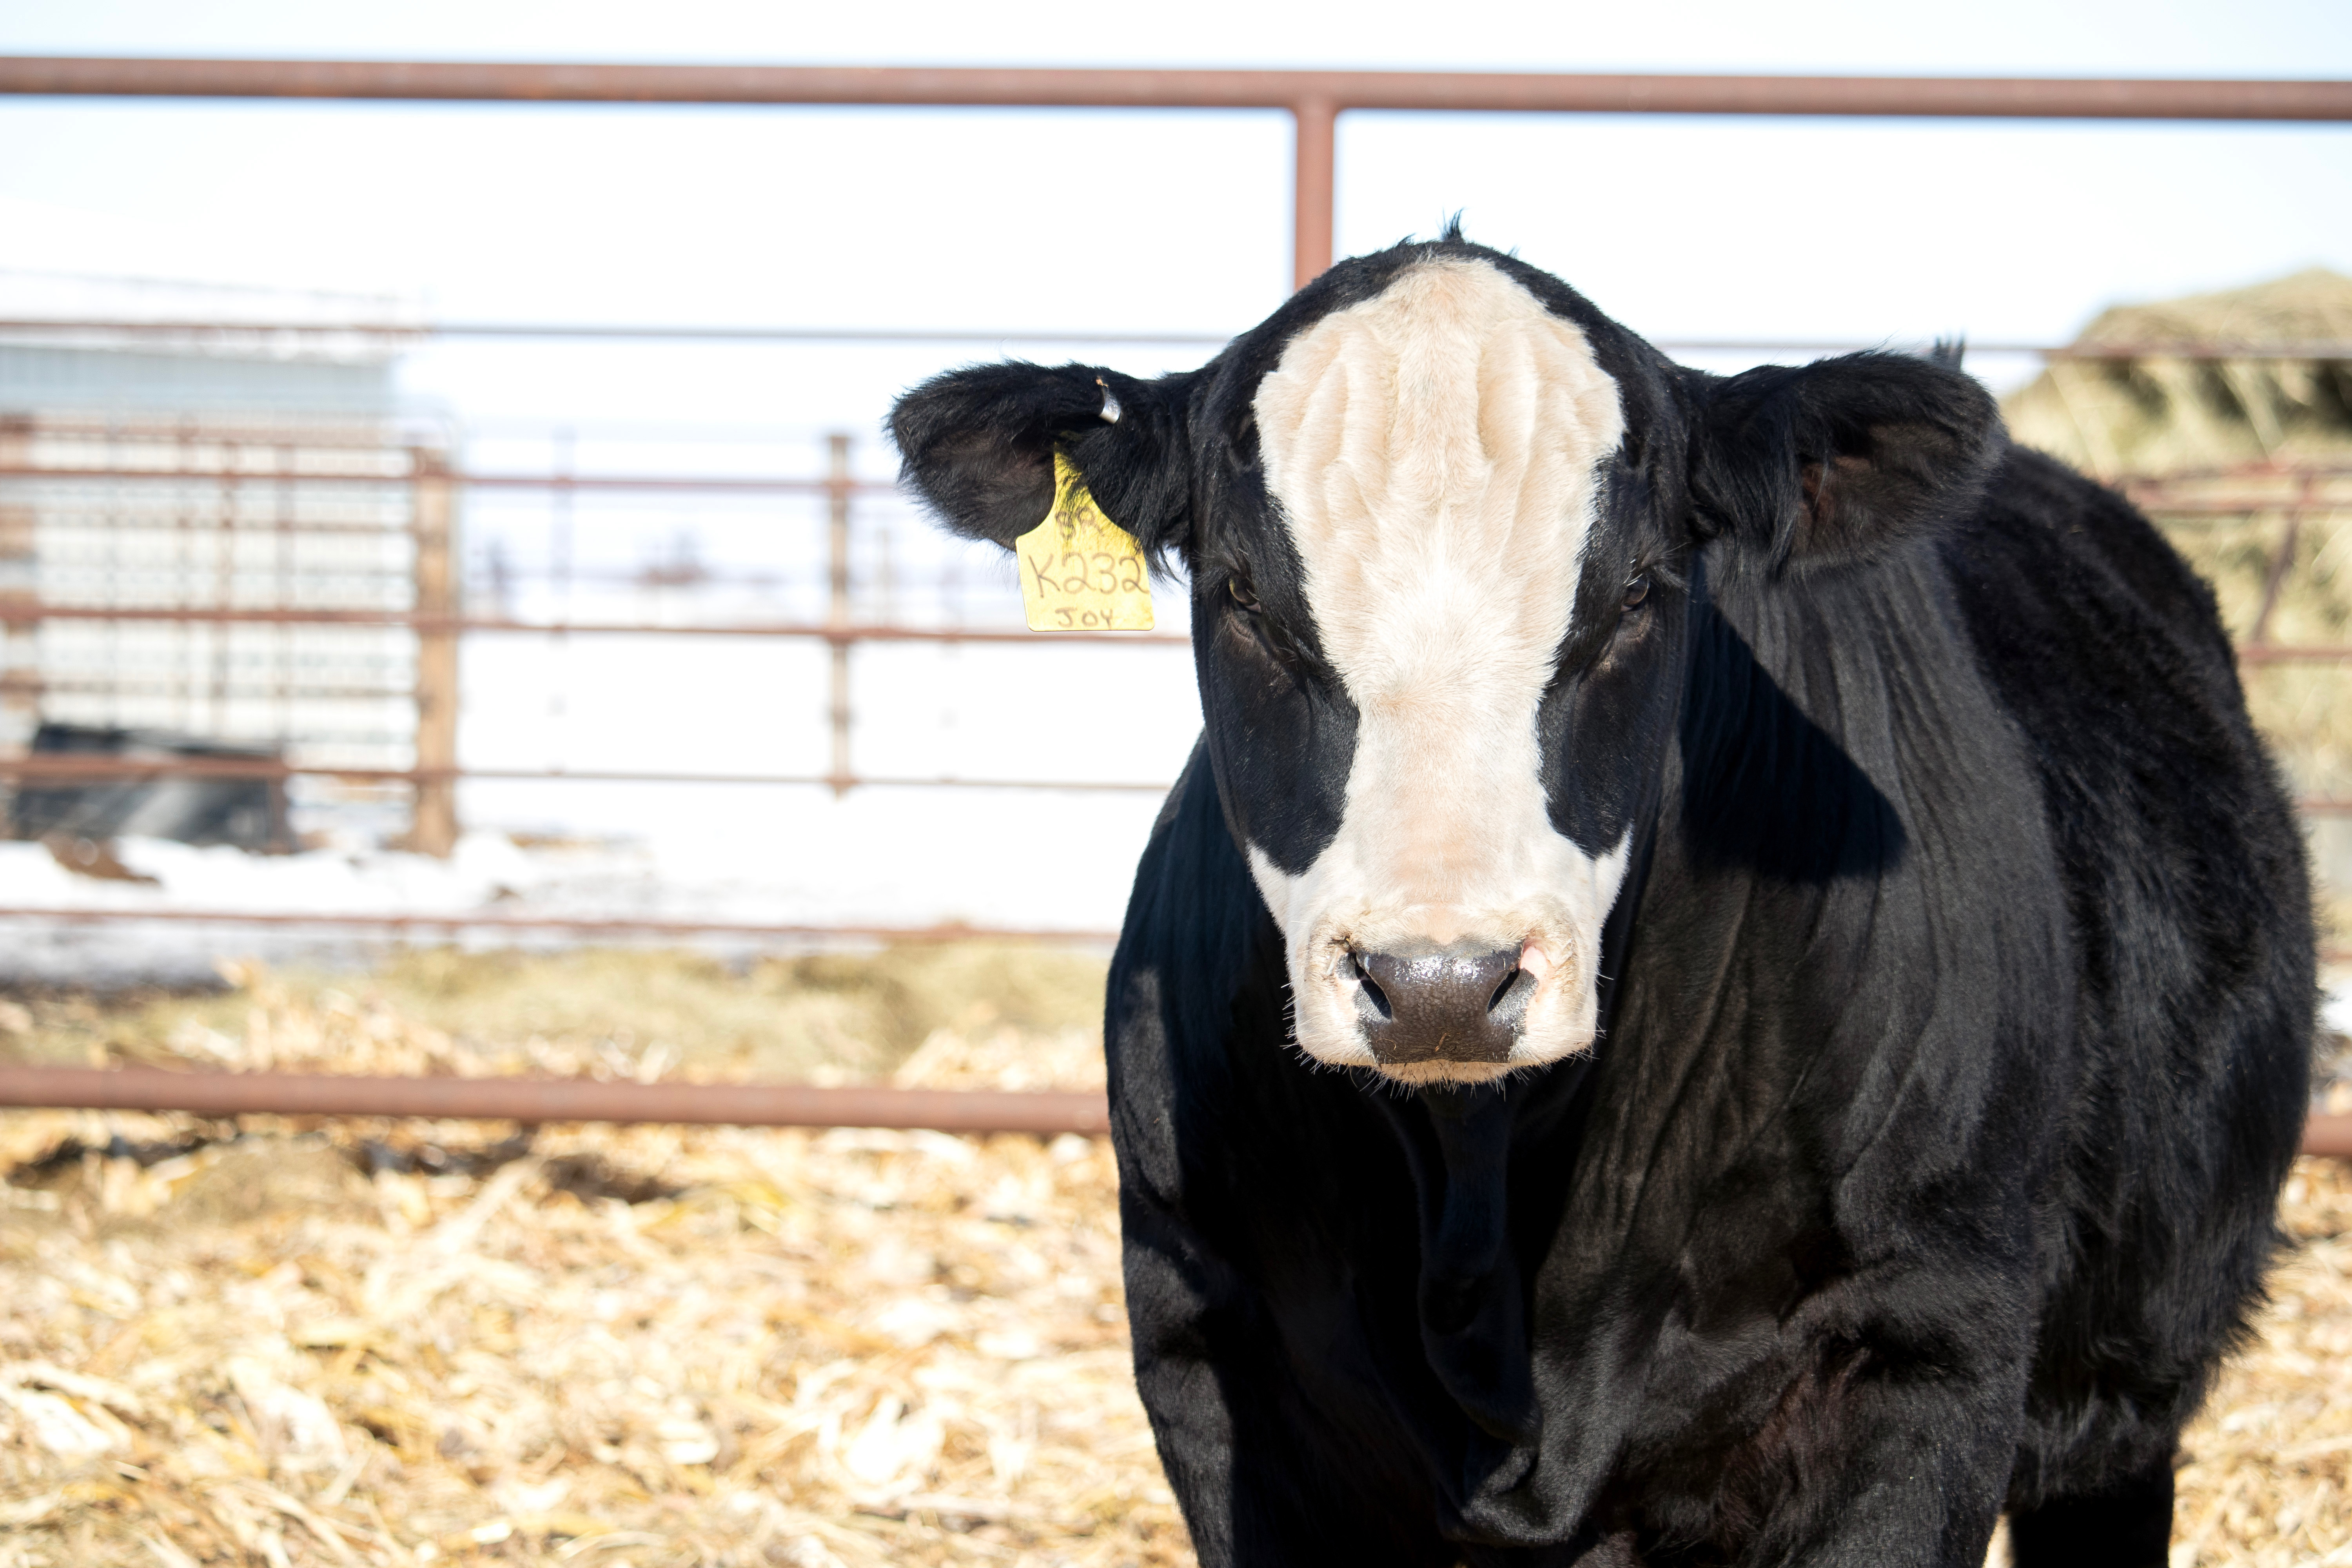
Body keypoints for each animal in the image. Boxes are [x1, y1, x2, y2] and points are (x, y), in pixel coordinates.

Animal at [889, 231, 2314, 1567]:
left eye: (1637, 594)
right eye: (1242, 593)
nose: (1442, 986)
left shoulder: (1927, 1346)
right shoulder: (1210, 1340)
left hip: (2127, 1395)